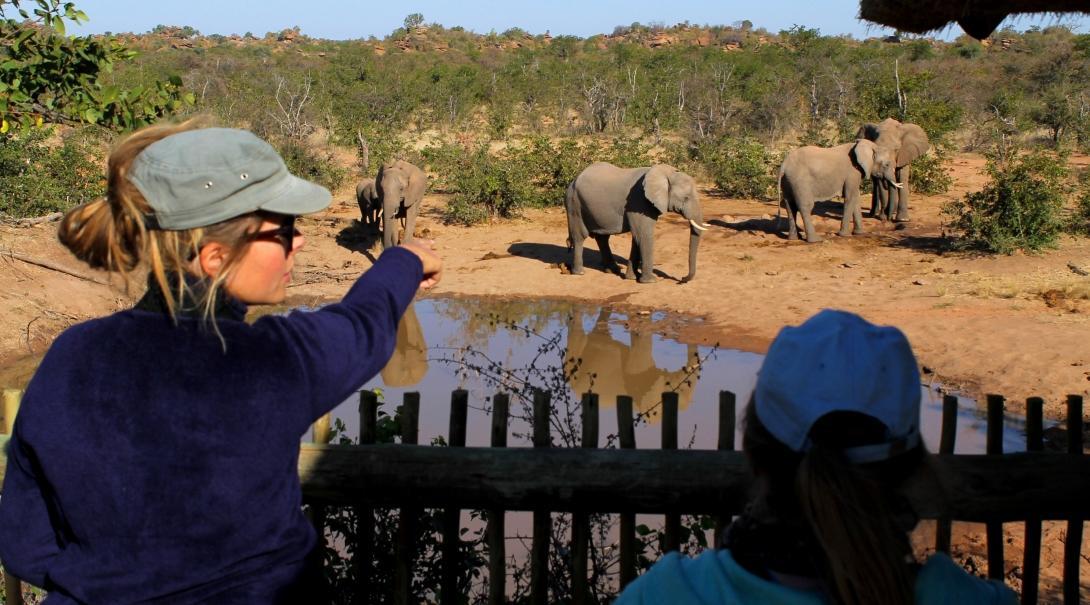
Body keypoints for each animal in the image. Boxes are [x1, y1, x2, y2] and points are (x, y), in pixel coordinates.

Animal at [566, 161, 710, 283]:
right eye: (686, 198)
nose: (682, 278)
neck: (665, 173)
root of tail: (573, 179)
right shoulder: (638, 202)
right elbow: (643, 235)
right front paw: (650, 281)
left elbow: (637, 238)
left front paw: (632, 277)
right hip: (575, 204)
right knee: (580, 237)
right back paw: (580, 272)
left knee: (602, 238)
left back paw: (613, 270)